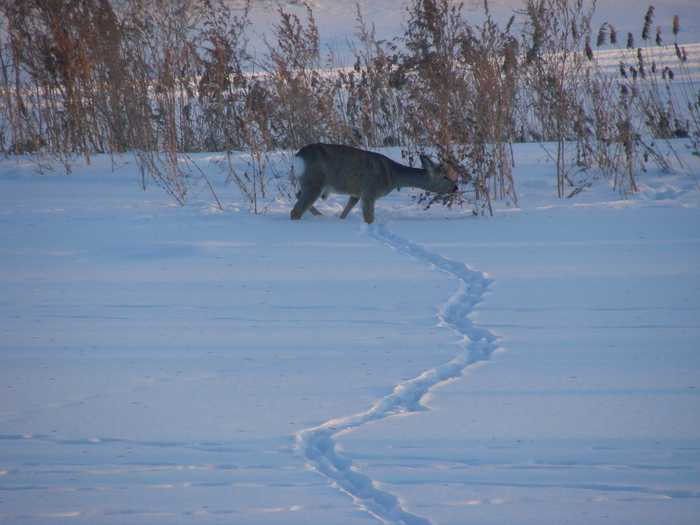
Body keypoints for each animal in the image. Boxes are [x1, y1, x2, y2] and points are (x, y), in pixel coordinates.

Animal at [290, 143, 458, 224]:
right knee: (296, 209)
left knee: (298, 195)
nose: (456, 187)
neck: (392, 176)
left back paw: (321, 216)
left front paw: (340, 220)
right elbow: (369, 218)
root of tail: (298, 156)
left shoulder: (357, 191)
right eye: (445, 177)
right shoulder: (371, 190)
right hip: (314, 180)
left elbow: (347, 209)